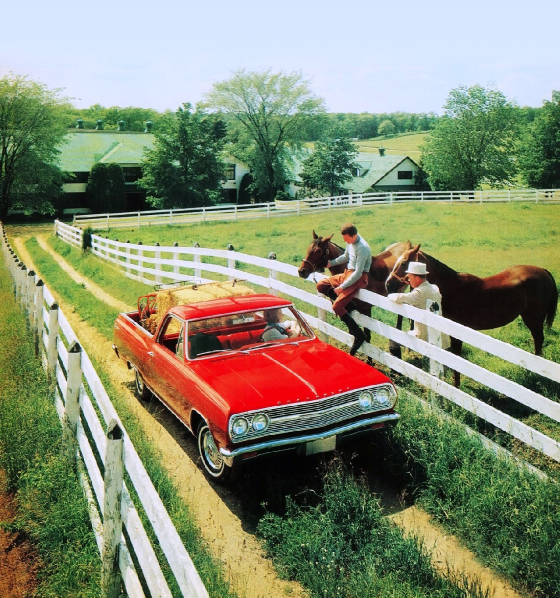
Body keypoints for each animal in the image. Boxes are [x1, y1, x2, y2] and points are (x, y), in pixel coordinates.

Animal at [388, 244, 556, 384]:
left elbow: (456, 358)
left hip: (533, 319)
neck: (451, 287)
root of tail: (543, 271)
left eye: (404, 263)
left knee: (538, 340)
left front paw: (456, 385)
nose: (388, 284)